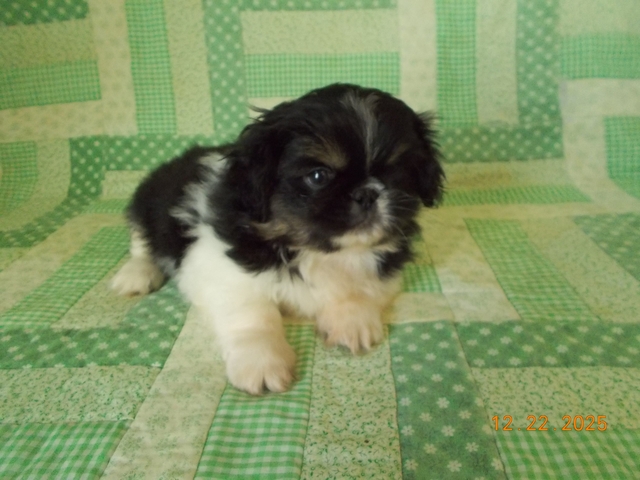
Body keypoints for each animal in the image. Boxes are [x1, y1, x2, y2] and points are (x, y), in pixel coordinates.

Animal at [111, 83, 444, 394]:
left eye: (396, 171)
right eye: (318, 177)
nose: (367, 193)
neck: (312, 250)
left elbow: (355, 287)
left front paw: (353, 321)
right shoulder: (223, 270)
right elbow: (254, 315)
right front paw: (261, 363)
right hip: (149, 206)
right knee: (141, 244)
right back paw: (136, 275)